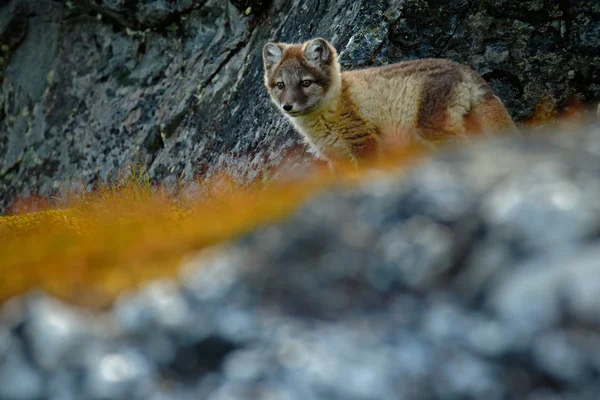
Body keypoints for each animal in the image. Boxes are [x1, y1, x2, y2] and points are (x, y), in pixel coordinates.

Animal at [262, 38, 516, 166]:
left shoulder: (363, 142)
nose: (287, 106)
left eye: (305, 83)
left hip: (434, 129)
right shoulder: (337, 160)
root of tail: (463, 69)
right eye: (281, 85)